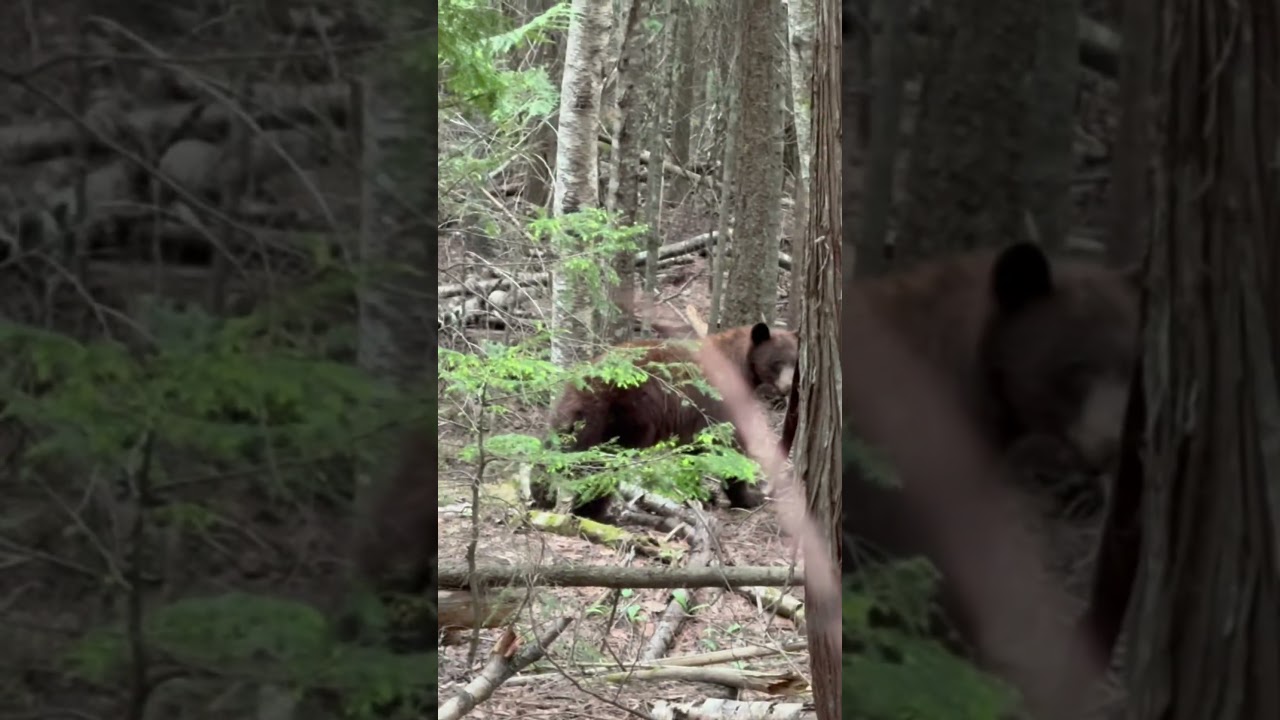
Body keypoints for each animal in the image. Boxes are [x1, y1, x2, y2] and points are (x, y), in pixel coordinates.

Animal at [530, 322, 800, 520]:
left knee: (559, 447)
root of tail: (590, 379)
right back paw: (593, 510)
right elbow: (727, 445)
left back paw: (541, 493)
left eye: (795, 362)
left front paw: (702, 495)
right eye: (777, 362)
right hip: (625, 417)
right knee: (603, 462)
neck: (738, 367)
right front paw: (747, 496)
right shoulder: (718, 401)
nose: (788, 387)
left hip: (573, 414)